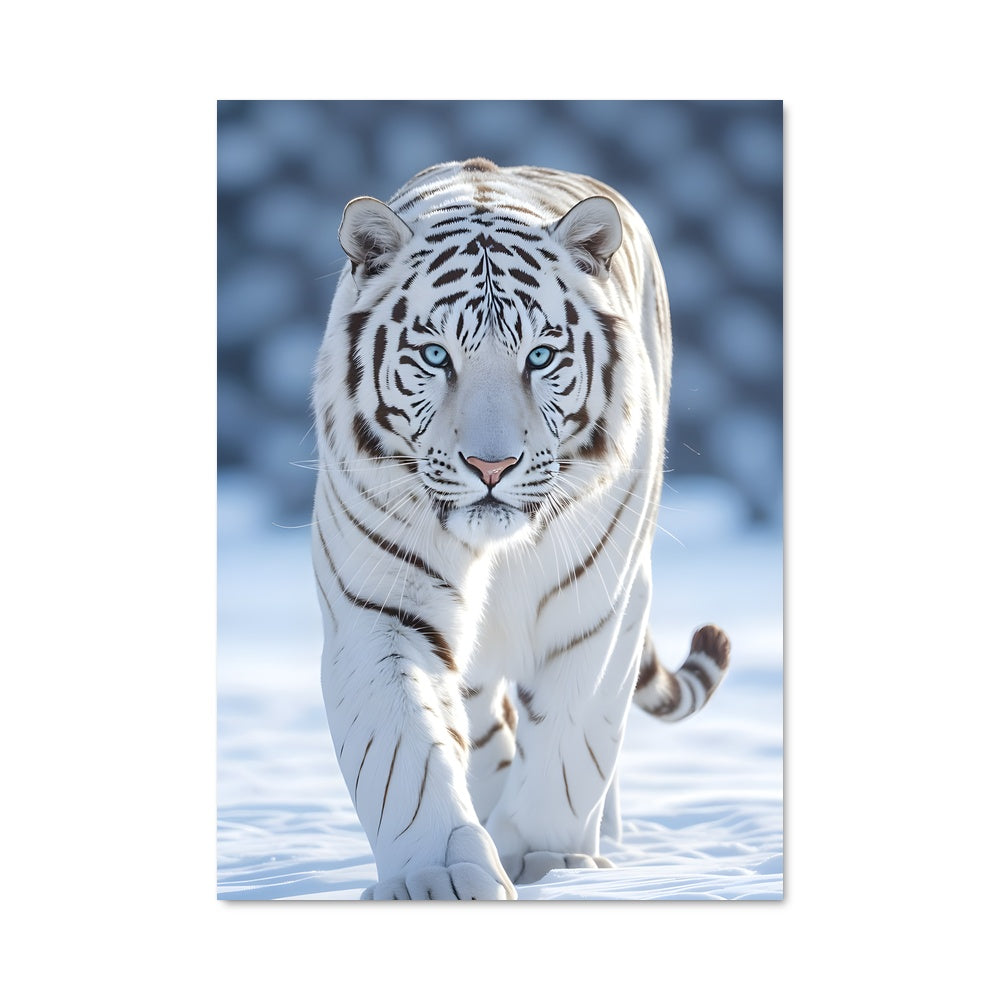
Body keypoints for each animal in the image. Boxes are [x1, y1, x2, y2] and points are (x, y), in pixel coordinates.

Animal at [310, 158, 730, 900]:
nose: (491, 465)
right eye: (435, 355)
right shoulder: (381, 608)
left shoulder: (595, 608)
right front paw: (440, 877)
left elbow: (571, 741)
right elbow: (403, 755)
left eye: (538, 357)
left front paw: (548, 859)